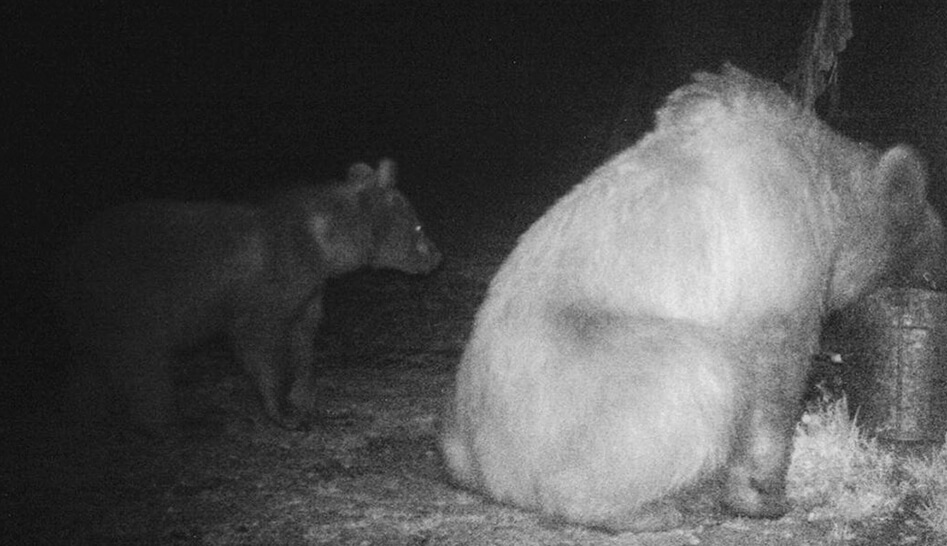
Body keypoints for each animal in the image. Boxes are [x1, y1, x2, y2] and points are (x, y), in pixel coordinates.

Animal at [63, 157, 440, 430]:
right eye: (419, 225)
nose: (438, 256)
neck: (323, 247)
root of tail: (69, 258)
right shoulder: (268, 283)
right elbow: (260, 342)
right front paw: (283, 411)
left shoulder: (306, 288)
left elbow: (303, 339)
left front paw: (304, 398)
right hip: (130, 303)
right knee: (143, 366)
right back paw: (177, 423)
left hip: (95, 316)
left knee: (94, 369)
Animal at [438, 65, 947, 532]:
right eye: (936, 237)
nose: (941, 275)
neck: (822, 178)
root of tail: (479, 462)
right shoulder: (774, 245)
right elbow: (774, 368)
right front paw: (763, 496)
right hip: (576, 387)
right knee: (699, 372)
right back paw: (645, 509)